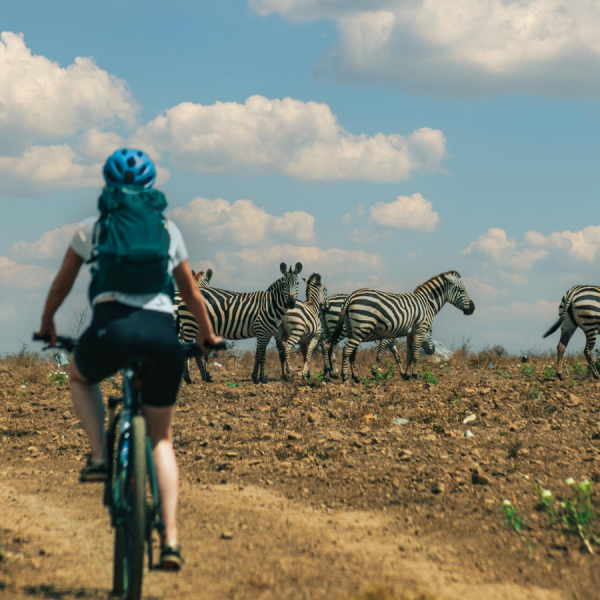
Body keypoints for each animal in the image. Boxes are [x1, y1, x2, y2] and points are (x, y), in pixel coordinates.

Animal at [336, 270, 476, 382]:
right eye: (462, 290)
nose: (473, 308)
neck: (427, 303)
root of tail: (352, 295)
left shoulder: (410, 333)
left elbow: (409, 354)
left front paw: (407, 376)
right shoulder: (420, 329)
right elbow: (415, 353)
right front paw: (416, 375)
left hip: (352, 329)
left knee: (350, 351)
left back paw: (354, 377)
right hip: (362, 327)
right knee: (347, 349)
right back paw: (345, 377)